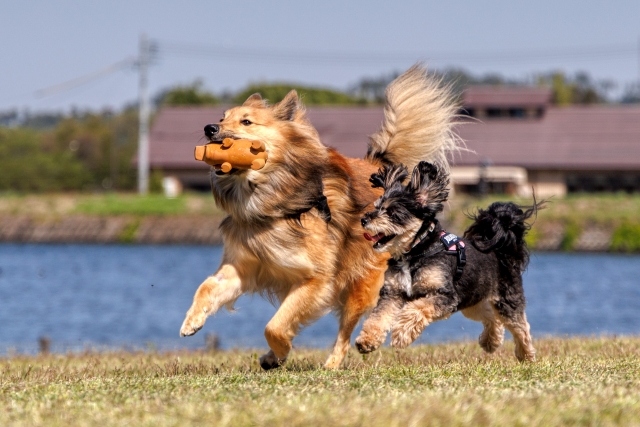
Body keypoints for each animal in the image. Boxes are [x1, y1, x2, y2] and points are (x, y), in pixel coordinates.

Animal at [180, 64, 460, 372]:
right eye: (222, 117)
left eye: (246, 122)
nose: (209, 128)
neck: (271, 199)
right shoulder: (244, 265)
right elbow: (207, 287)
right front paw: (192, 321)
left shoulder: (317, 279)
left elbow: (275, 325)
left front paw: (281, 350)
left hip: (361, 283)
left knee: (347, 331)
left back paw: (332, 363)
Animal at [352, 162, 544, 362]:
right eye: (376, 207)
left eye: (392, 212)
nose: (364, 219)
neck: (416, 251)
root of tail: (501, 247)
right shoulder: (393, 293)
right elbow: (378, 316)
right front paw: (367, 340)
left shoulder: (446, 295)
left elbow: (417, 309)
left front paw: (401, 335)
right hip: (472, 300)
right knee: (492, 317)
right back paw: (491, 341)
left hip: (505, 299)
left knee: (520, 326)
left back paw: (526, 355)